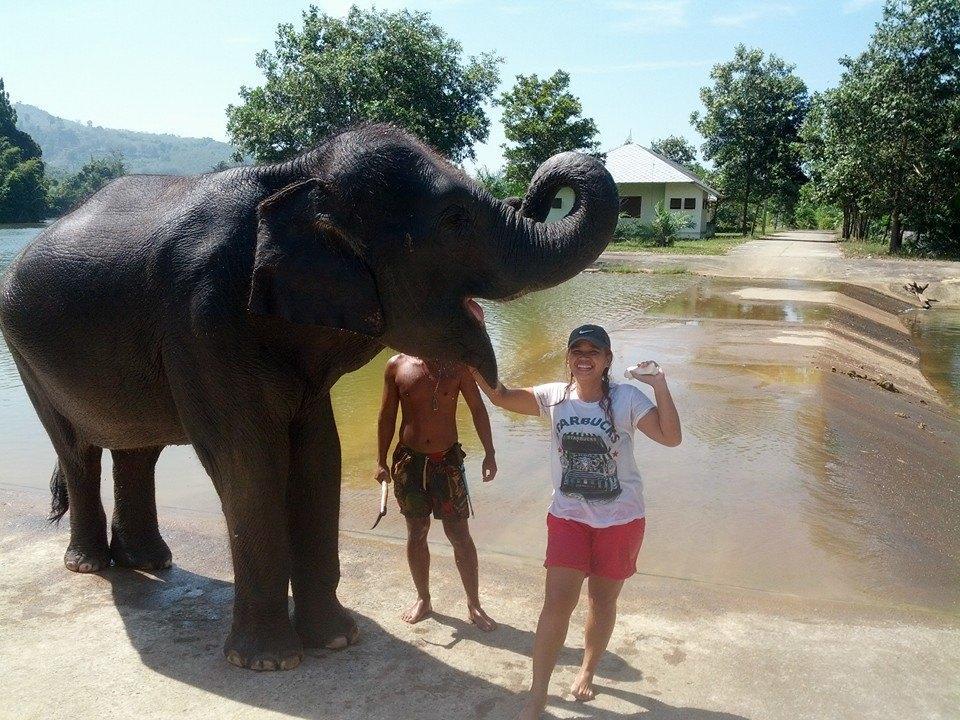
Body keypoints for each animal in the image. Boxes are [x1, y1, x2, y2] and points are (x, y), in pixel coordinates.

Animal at [0, 124, 616, 668]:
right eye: (454, 219)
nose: (543, 186)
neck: (295, 173)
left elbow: (320, 455)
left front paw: (337, 640)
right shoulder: (202, 321)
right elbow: (249, 461)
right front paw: (270, 662)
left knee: (136, 451)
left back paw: (148, 562)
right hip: (26, 353)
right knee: (76, 450)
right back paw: (90, 567)